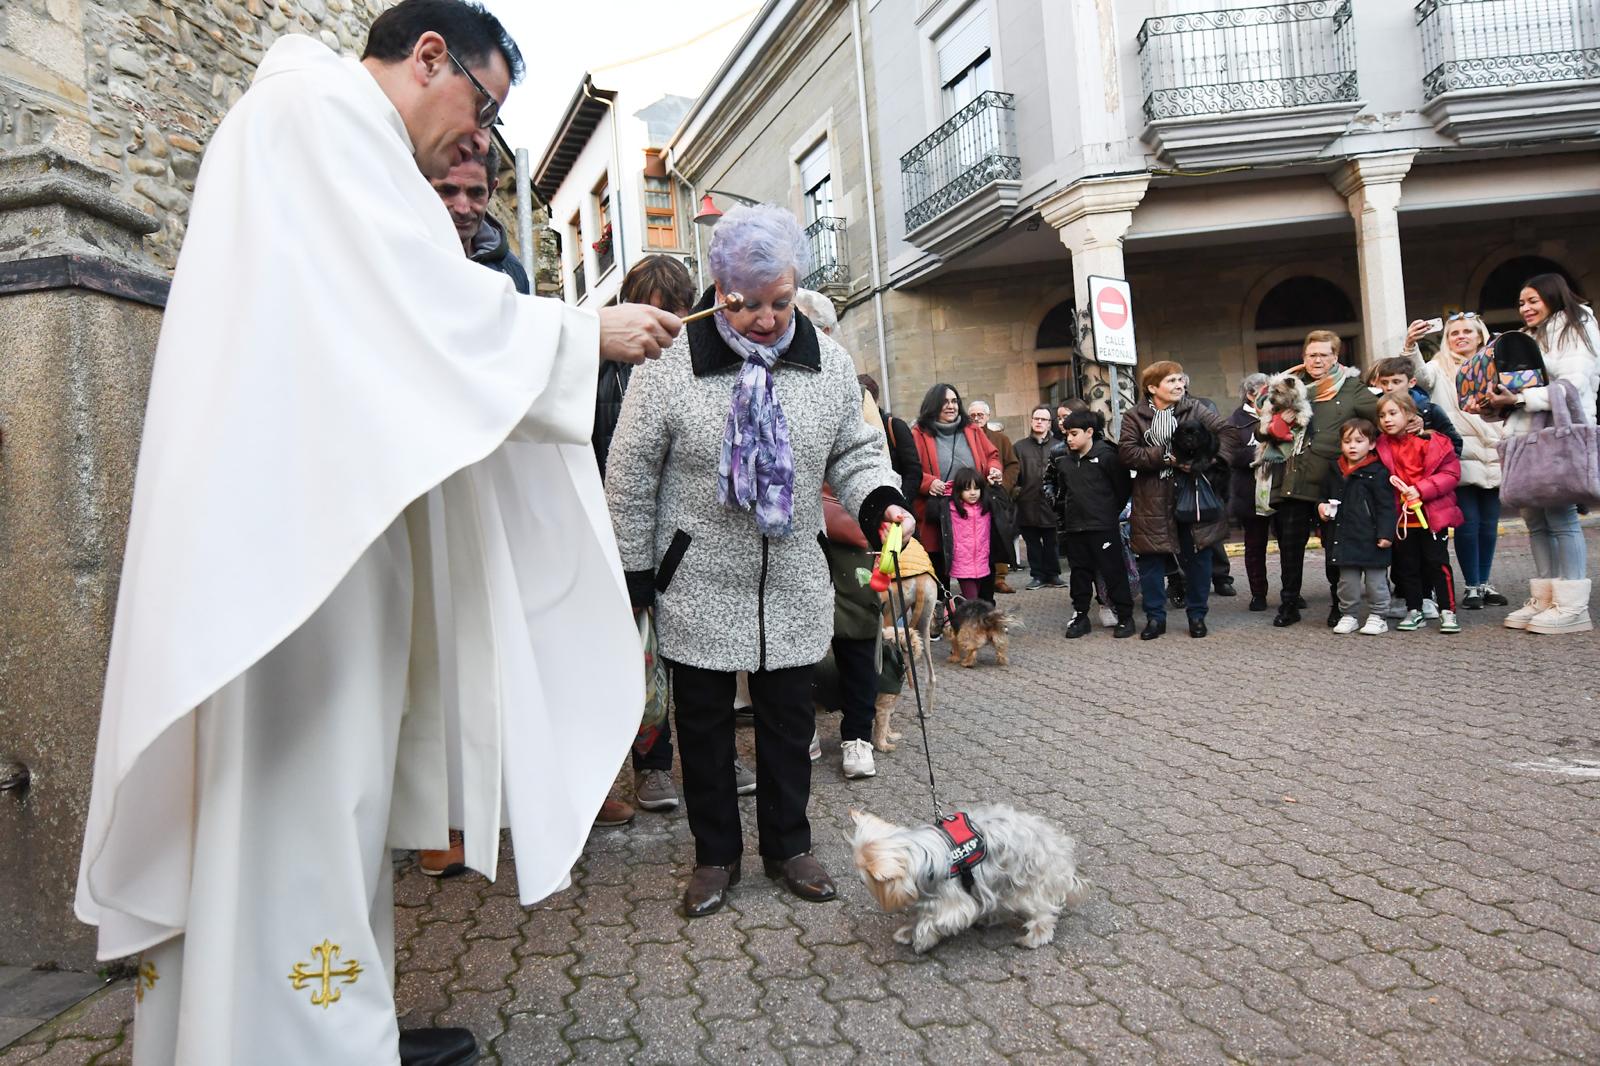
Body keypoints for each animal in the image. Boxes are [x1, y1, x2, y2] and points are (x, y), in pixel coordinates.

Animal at [851, 800, 1088, 947]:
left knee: (1042, 912)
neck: (923, 856)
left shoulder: (951, 901)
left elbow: (934, 919)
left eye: (868, 878)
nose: (860, 882)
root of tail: (1056, 846)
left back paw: (1034, 938)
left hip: (1026, 883)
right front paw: (907, 932)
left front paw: (922, 939)